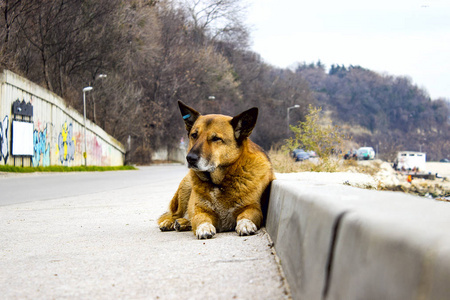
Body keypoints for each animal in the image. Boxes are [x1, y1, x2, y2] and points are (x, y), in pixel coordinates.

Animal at [158, 101, 278, 239]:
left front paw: (245, 224)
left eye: (216, 138)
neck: (218, 182)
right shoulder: (201, 210)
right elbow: (199, 218)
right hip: (185, 188)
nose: (190, 158)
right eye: (194, 135)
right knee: (174, 214)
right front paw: (204, 227)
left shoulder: (253, 208)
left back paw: (182, 223)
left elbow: (246, 215)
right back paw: (170, 222)